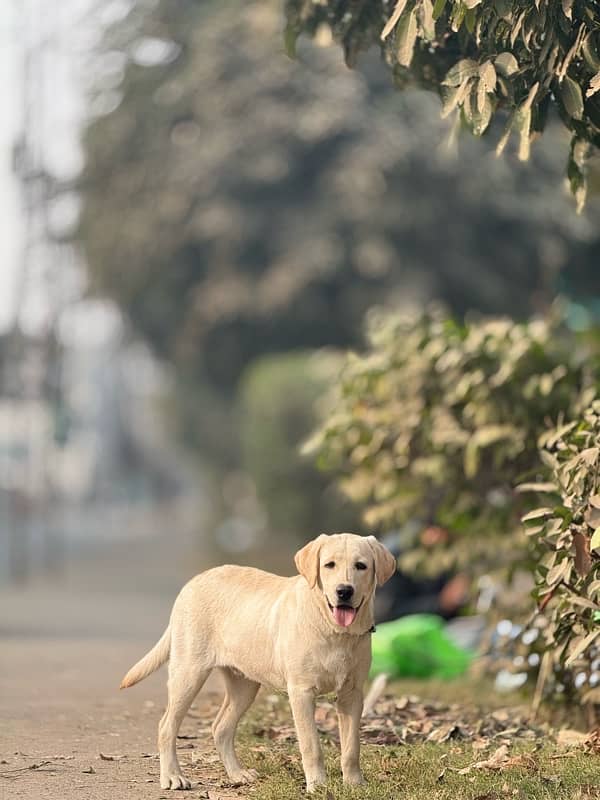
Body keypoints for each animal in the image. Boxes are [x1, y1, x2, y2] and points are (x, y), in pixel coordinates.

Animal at [119, 536, 396, 792]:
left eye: (361, 566)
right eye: (329, 565)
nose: (344, 591)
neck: (334, 630)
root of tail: (194, 581)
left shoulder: (352, 694)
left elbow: (351, 747)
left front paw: (355, 785)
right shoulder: (302, 692)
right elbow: (311, 746)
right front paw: (318, 786)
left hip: (244, 685)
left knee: (221, 727)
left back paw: (237, 774)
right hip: (189, 674)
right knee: (166, 725)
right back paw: (172, 777)